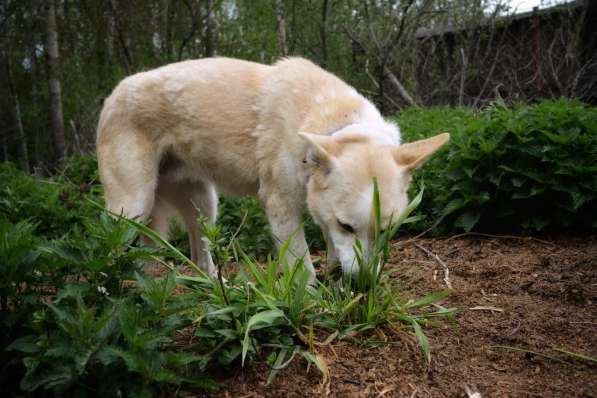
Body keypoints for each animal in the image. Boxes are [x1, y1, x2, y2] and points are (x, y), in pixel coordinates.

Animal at [95, 56, 444, 280]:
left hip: (203, 206)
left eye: (386, 231)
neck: (335, 122)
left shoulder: (319, 210)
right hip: (131, 209)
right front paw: (312, 306)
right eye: (347, 226)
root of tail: (113, 94)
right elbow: (303, 267)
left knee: (197, 259)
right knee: (109, 255)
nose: (365, 285)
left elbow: (331, 248)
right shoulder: (282, 209)